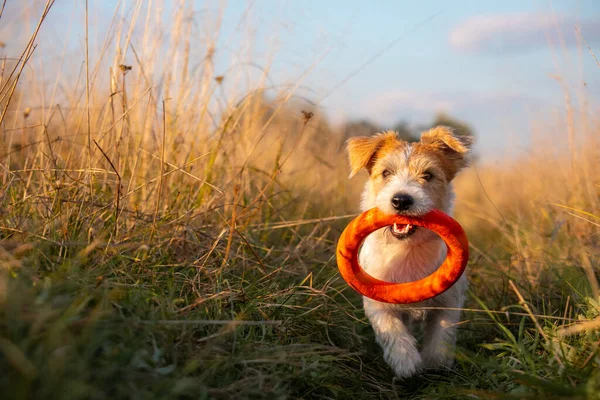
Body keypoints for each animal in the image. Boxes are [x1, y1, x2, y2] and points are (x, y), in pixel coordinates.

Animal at [346, 126, 474, 378]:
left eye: (428, 175)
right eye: (386, 172)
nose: (401, 200)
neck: (406, 249)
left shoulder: (448, 302)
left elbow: (441, 336)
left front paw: (435, 364)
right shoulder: (377, 302)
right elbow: (390, 328)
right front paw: (405, 361)